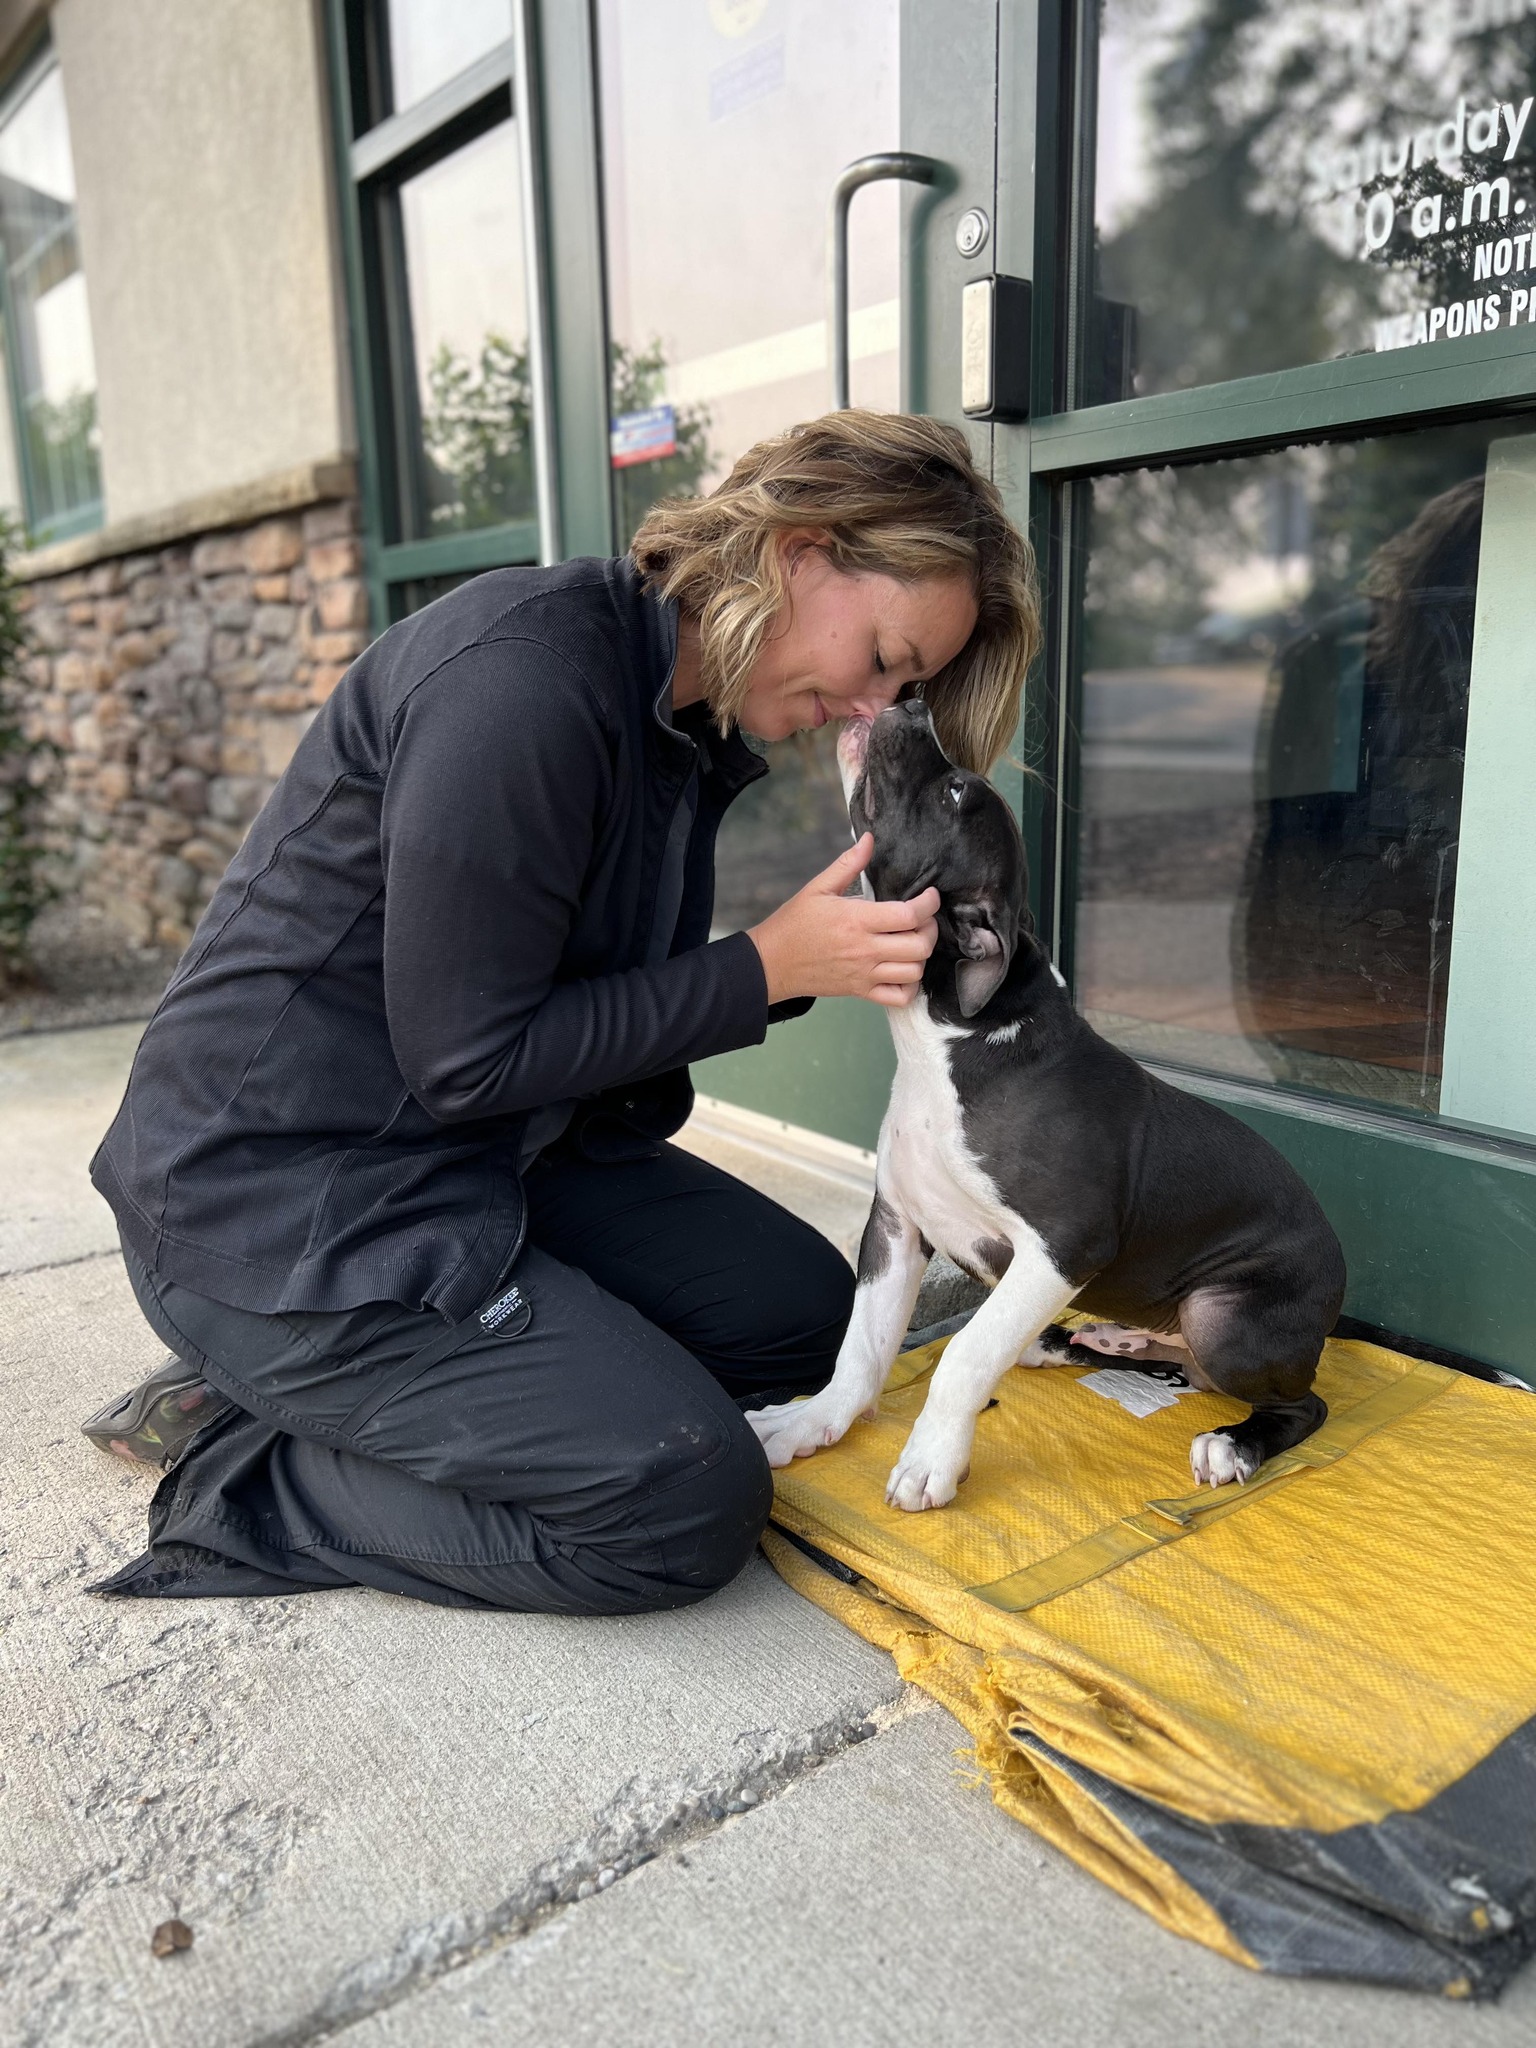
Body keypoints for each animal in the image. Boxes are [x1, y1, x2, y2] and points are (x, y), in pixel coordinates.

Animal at [749, 696, 1343, 1515]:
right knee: (1165, 1362)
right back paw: (1091, 1341)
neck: (948, 1039)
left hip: (1223, 1316)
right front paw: (811, 1421)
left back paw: (1233, 1444)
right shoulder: (896, 1225)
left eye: (957, 792)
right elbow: (861, 1347)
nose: (912, 700)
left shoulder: (1063, 1247)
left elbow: (965, 1354)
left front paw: (932, 1457)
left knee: (1298, 1402)